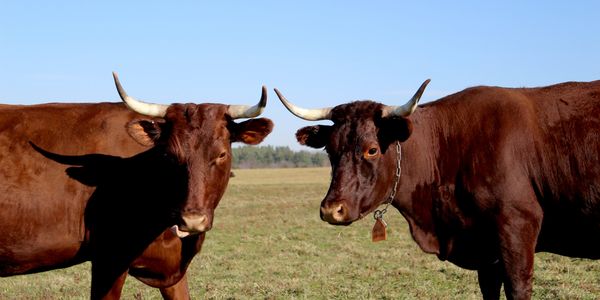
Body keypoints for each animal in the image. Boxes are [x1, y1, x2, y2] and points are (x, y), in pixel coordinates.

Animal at [276, 79, 600, 300]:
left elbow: (518, 288)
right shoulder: (486, 251)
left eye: (371, 149)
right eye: (330, 150)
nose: (332, 210)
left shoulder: (518, 228)